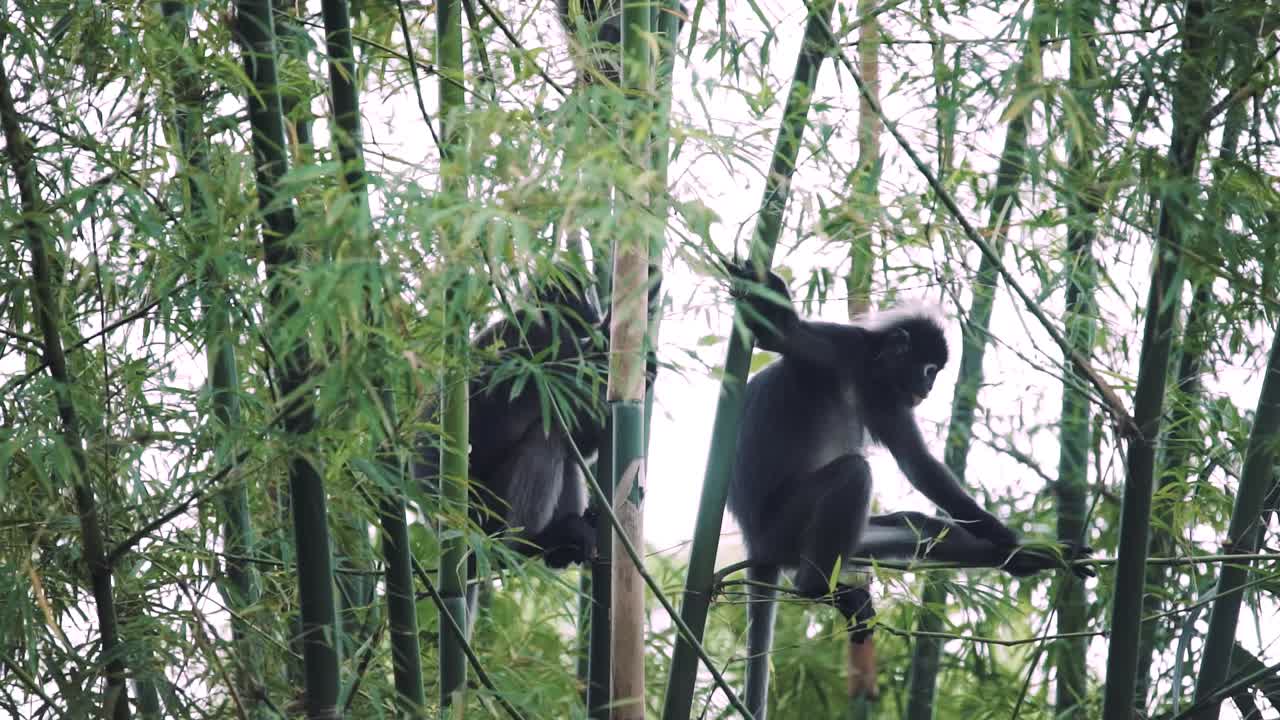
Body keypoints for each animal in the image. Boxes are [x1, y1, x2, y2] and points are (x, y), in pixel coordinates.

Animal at [723, 263, 1093, 716]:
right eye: (930, 369)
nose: (930, 387)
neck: (868, 370)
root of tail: (753, 541)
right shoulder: (842, 348)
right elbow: (782, 335)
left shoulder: (884, 395)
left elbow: (917, 467)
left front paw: (1022, 549)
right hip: (782, 525)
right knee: (854, 473)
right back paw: (817, 589)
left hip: (828, 542)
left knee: (918, 527)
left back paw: (1024, 558)